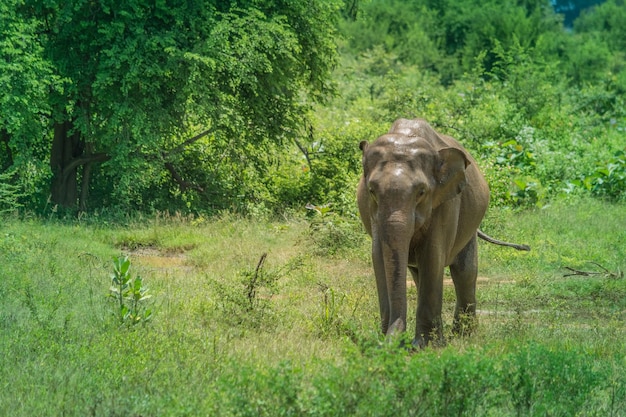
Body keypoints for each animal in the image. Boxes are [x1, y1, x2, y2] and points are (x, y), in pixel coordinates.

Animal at [356, 118, 528, 348]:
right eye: (372, 191)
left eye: (421, 192)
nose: (392, 342)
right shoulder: (371, 211)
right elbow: (379, 258)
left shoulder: (446, 203)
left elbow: (432, 256)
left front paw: (425, 346)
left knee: (465, 272)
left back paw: (464, 335)